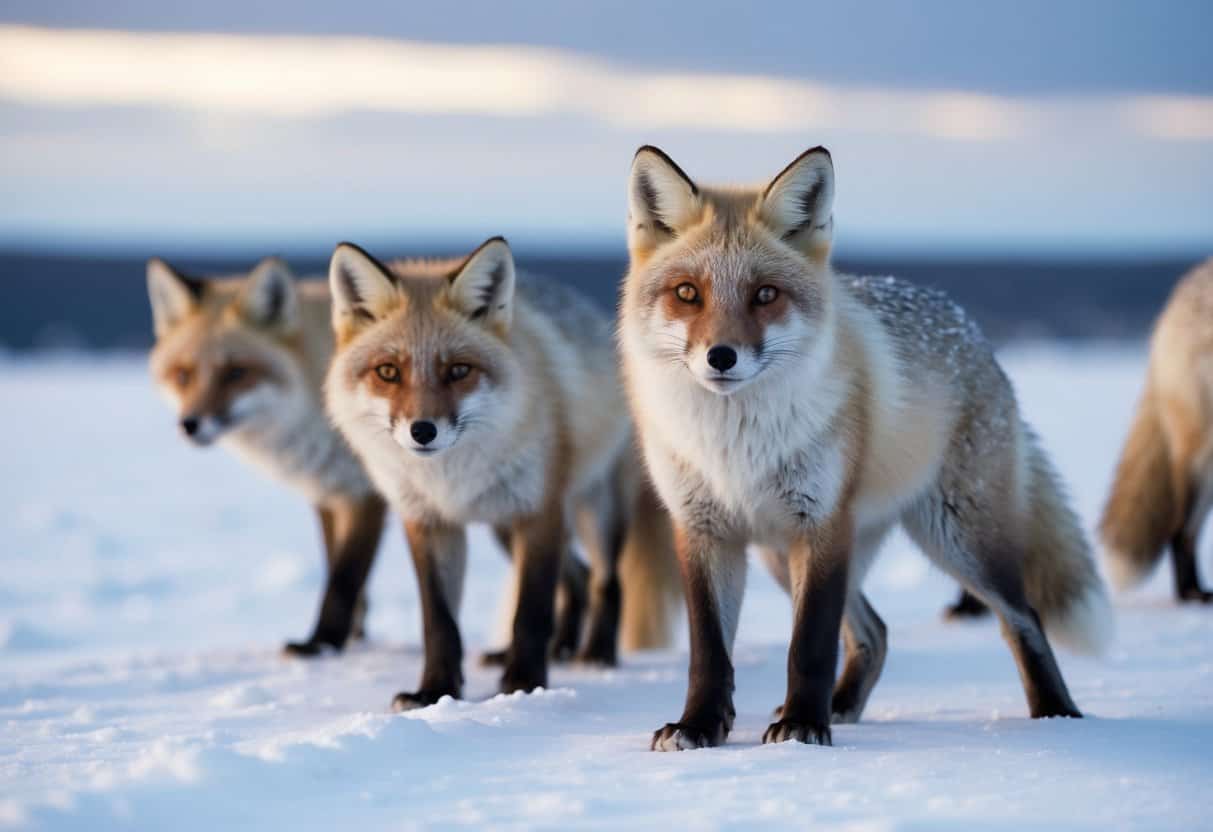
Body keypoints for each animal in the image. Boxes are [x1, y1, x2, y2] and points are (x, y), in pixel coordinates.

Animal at [147, 256, 389, 656]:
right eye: (183, 374)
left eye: (236, 372)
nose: (190, 424)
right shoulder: (329, 492)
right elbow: (340, 570)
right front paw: (351, 637)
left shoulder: (367, 491)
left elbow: (344, 578)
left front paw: (321, 644)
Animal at [325, 237, 679, 709]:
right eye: (388, 371)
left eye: (458, 370)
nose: (423, 431)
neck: (452, 479)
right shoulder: (428, 521)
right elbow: (439, 623)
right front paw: (435, 691)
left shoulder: (540, 512)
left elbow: (530, 611)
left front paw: (523, 684)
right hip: (503, 529)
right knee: (578, 579)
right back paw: (557, 648)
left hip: (593, 510)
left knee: (606, 580)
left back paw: (595, 654)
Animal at [619, 145, 1113, 750]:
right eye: (688, 293)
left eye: (765, 295)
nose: (721, 356)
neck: (735, 446)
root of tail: (971, 329)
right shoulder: (703, 529)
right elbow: (709, 653)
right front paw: (699, 725)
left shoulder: (822, 523)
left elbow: (809, 645)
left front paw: (804, 728)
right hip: (785, 554)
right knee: (875, 633)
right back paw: (844, 705)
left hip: (959, 539)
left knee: (1023, 617)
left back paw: (1056, 715)